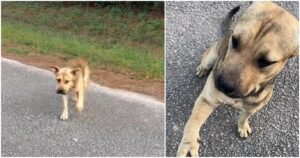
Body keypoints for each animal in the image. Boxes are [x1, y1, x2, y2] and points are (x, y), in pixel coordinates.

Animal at [177, 1, 298, 157]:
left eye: (266, 62)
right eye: (234, 40)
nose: (222, 84)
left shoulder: (254, 108)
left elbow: (244, 117)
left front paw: (243, 126)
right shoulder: (207, 100)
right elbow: (193, 122)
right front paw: (189, 142)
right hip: (211, 56)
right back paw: (203, 68)